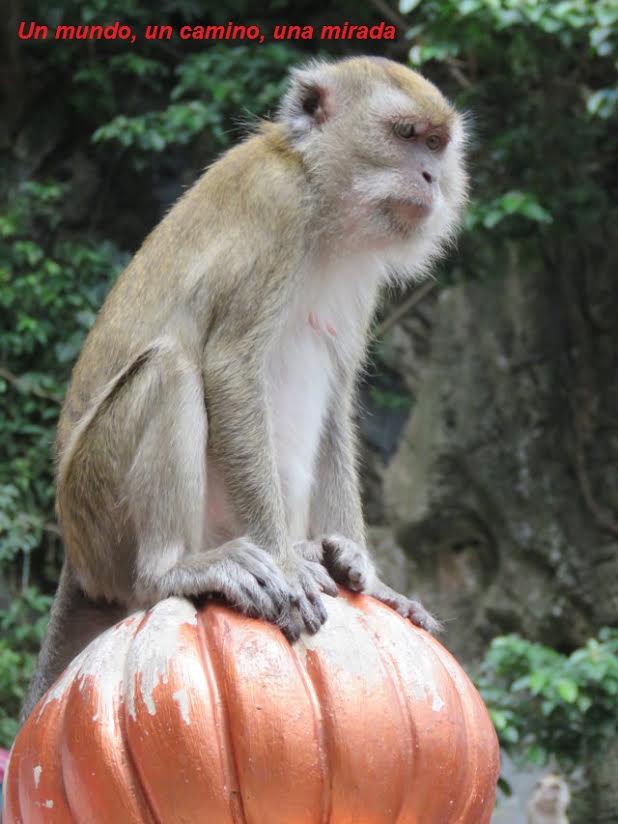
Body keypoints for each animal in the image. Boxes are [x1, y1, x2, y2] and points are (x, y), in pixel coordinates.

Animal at [22, 56, 468, 718]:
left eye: (438, 144)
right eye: (406, 134)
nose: (431, 176)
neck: (319, 193)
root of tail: (75, 558)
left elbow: (336, 402)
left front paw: (368, 573)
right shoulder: (277, 207)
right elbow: (230, 366)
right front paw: (285, 563)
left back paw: (313, 551)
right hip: (97, 511)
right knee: (171, 370)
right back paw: (178, 570)